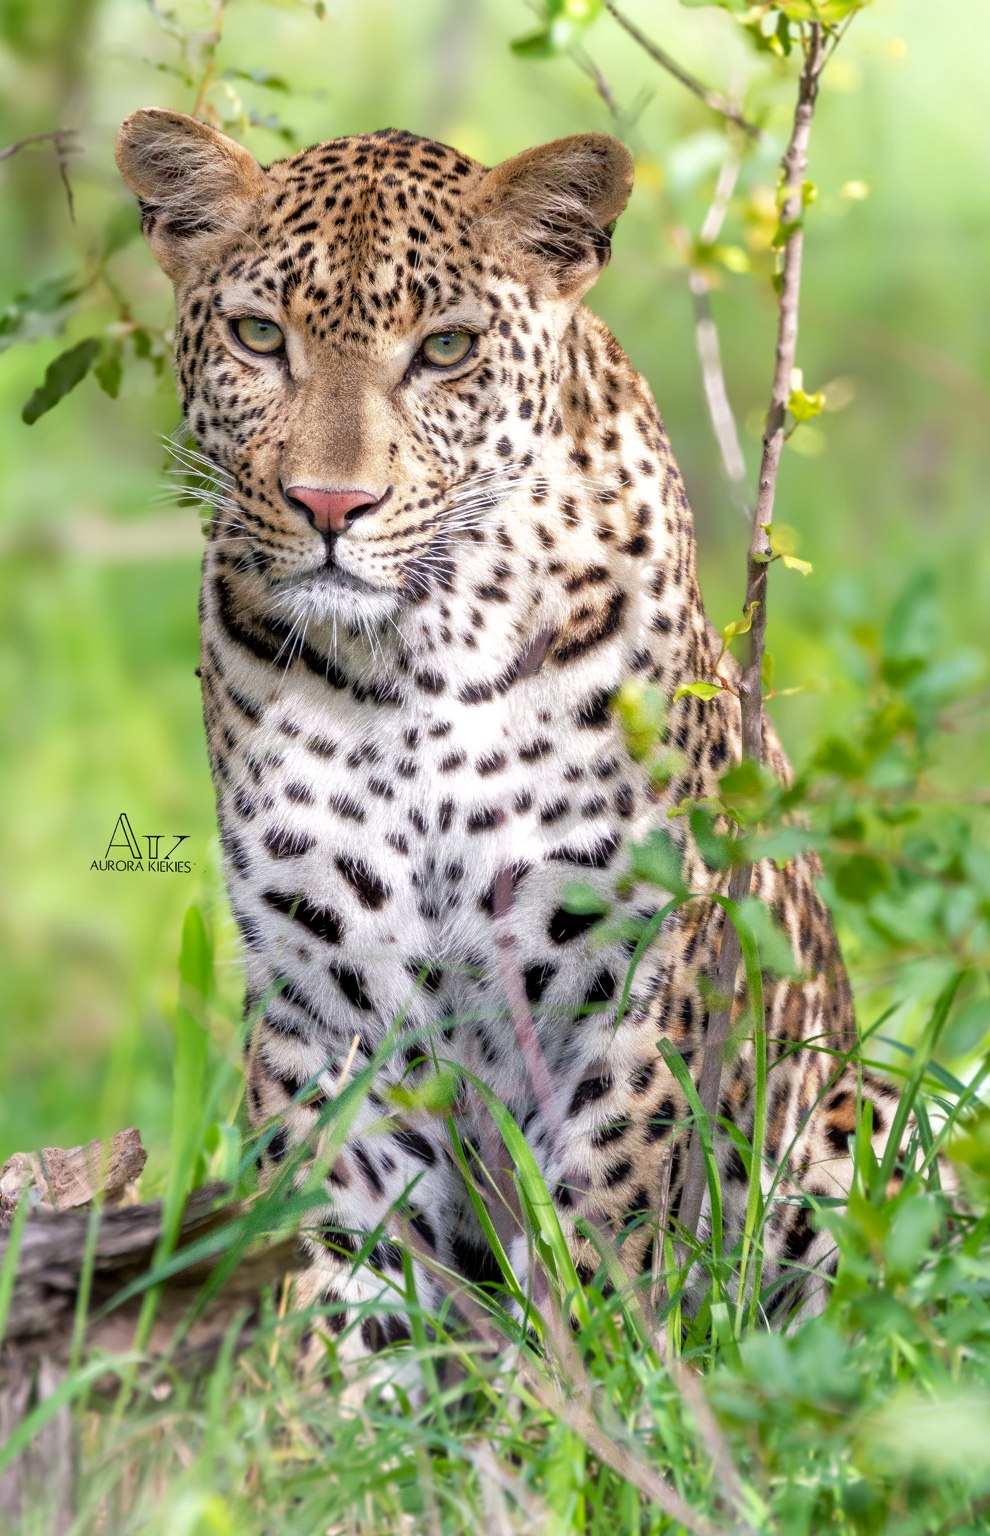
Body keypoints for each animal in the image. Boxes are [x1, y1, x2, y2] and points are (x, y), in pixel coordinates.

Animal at [116, 109, 906, 1357]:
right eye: (257, 337)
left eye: (444, 350)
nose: (329, 506)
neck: (413, 667)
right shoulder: (320, 998)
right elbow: (340, 1246)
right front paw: (345, 1398)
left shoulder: (636, 971)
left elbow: (603, 1224)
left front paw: (584, 1391)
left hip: (870, 1109)